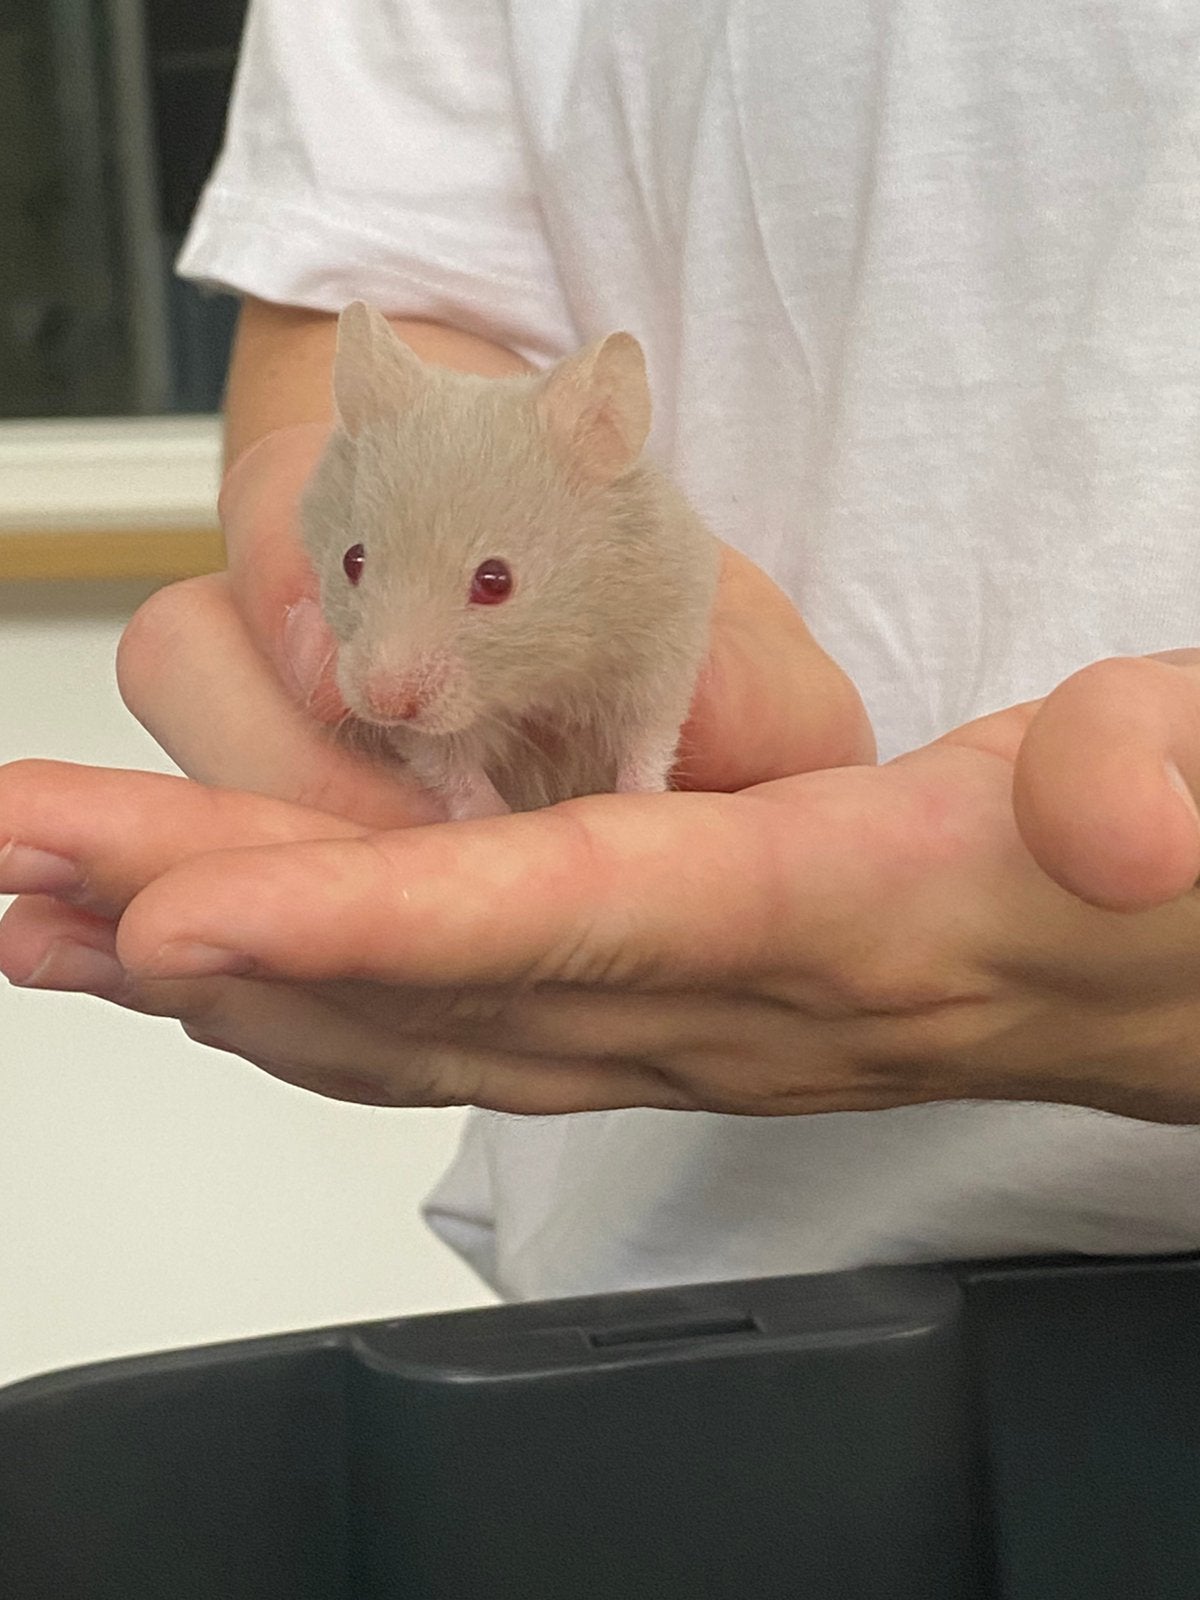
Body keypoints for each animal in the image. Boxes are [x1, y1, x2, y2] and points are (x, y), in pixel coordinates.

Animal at [299, 301, 721, 820]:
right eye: (351, 560)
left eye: (495, 581)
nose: (385, 703)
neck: (536, 680)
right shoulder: (430, 738)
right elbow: (449, 766)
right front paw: (489, 813)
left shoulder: (661, 653)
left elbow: (648, 743)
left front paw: (640, 800)